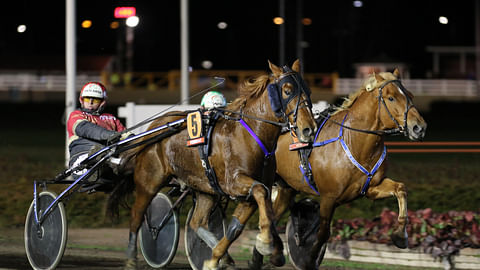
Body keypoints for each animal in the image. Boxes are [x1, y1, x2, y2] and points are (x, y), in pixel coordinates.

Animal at [109, 59, 318, 270]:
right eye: (287, 90)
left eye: (307, 89)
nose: (309, 129)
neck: (251, 134)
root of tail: (153, 128)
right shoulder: (234, 182)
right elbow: (260, 193)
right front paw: (266, 243)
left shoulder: (251, 191)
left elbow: (239, 225)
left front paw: (217, 258)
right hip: (149, 180)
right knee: (136, 215)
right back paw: (131, 258)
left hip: (205, 189)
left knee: (196, 222)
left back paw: (223, 256)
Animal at [248, 70, 428, 270]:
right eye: (391, 98)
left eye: (410, 96)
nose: (419, 127)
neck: (354, 140)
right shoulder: (329, 198)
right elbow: (322, 233)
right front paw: (309, 261)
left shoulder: (372, 188)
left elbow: (401, 189)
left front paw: (400, 236)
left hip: (287, 189)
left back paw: (258, 258)